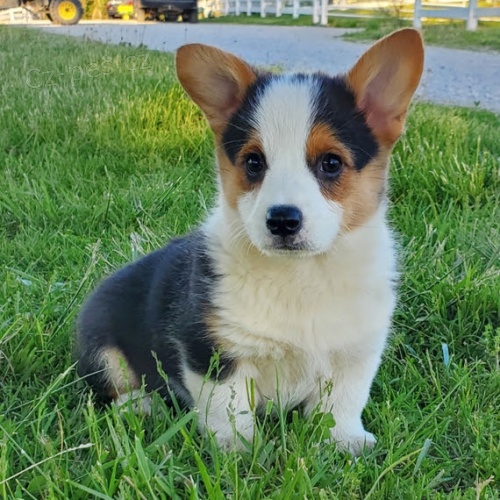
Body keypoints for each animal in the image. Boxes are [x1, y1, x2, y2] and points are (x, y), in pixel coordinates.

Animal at [76, 29, 424, 456]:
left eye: (331, 163)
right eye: (254, 162)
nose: (283, 220)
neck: (302, 275)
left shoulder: (357, 351)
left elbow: (344, 401)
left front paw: (344, 441)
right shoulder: (211, 351)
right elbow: (229, 409)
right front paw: (240, 451)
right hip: (101, 346)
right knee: (113, 388)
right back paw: (142, 405)